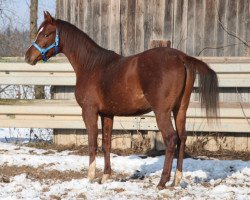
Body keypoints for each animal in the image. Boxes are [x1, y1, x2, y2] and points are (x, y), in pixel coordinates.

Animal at [24, 11, 218, 189]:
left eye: (46, 34)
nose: (28, 56)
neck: (91, 65)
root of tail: (181, 57)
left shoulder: (89, 111)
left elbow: (92, 143)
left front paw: (90, 177)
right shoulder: (107, 114)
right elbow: (106, 144)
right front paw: (105, 176)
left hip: (162, 112)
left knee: (171, 139)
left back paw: (162, 182)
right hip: (180, 109)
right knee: (183, 138)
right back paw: (176, 180)